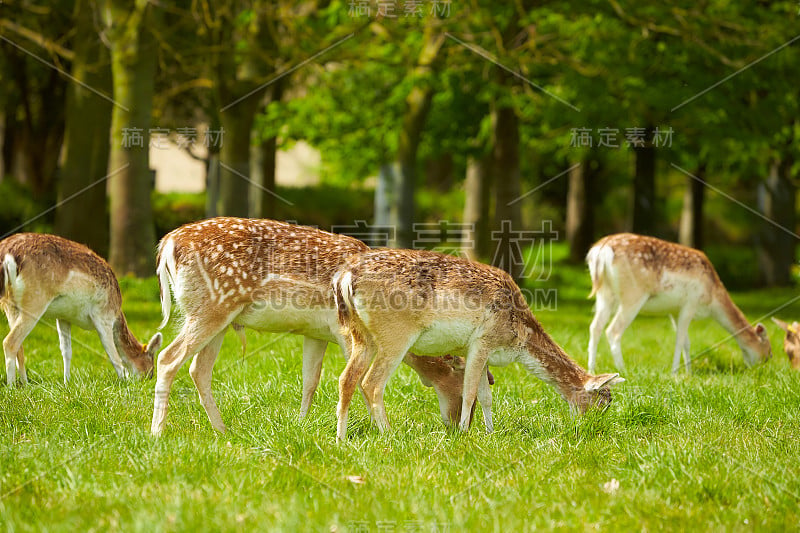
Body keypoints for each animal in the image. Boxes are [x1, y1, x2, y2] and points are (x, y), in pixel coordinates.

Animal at [0, 232, 162, 382]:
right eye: (152, 369)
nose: (147, 379)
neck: (117, 311)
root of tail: (6, 254)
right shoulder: (103, 315)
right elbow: (112, 354)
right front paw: (124, 382)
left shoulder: (63, 317)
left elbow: (66, 350)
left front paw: (66, 382)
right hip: (35, 300)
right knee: (10, 342)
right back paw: (12, 386)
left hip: (9, 304)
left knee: (19, 345)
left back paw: (25, 384)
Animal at [148, 218, 488, 434]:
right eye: (459, 375)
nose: (460, 426)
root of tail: (167, 245)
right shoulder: (348, 333)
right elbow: (357, 380)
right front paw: (374, 431)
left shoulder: (315, 333)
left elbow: (310, 381)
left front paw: (300, 424)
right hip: (210, 307)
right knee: (168, 358)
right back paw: (157, 432)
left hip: (217, 316)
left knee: (198, 369)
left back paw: (222, 430)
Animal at [332, 247, 624, 438]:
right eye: (603, 400)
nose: (593, 429)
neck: (518, 339)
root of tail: (344, 277)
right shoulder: (482, 342)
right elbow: (471, 391)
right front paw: (464, 434)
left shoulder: (481, 354)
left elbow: (486, 396)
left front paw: (490, 432)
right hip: (396, 334)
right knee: (372, 382)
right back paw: (389, 435)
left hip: (361, 334)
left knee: (347, 378)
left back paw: (341, 438)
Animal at [584, 233, 772, 374]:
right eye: (769, 352)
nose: (762, 370)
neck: (712, 299)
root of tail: (600, 251)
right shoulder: (691, 303)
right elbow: (680, 339)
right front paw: (675, 371)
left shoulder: (674, 310)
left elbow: (686, 342)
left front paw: (689, 372)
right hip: (633, 294)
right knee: (613, 330)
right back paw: (623, 370)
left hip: (605, 295)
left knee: (595, 327)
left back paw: (591, 370)